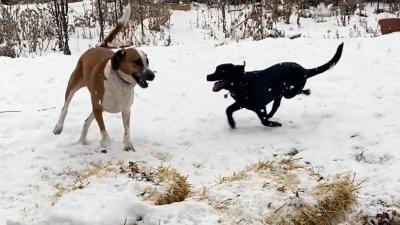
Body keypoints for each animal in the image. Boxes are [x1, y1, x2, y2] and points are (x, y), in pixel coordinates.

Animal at [54, 4, 156, 150]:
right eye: (137, 62)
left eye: (147, 61)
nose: (152, 75)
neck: (120, 81)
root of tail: (97, 47)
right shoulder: (98, 108)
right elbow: (105, 133)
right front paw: (107, 143)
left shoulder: (125, 110)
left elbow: (127, 130)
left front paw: (128, 145)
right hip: (74, 85)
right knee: (65, 107)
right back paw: (58, 127)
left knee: (86, 120)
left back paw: (82, 140)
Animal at [206, 42, 344, 128]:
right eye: (215, 70)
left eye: (221, 71)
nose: (207, 76)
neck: (240, 83)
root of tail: (304, 70)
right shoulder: (241, 103)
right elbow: (228, 110)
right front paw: (232, 124)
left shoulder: (259, 107)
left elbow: (264, 121)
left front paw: (275, 124)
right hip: (281, 94)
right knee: (277, 105)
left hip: (288, 92)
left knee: (294, 92)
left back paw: (306, 92)